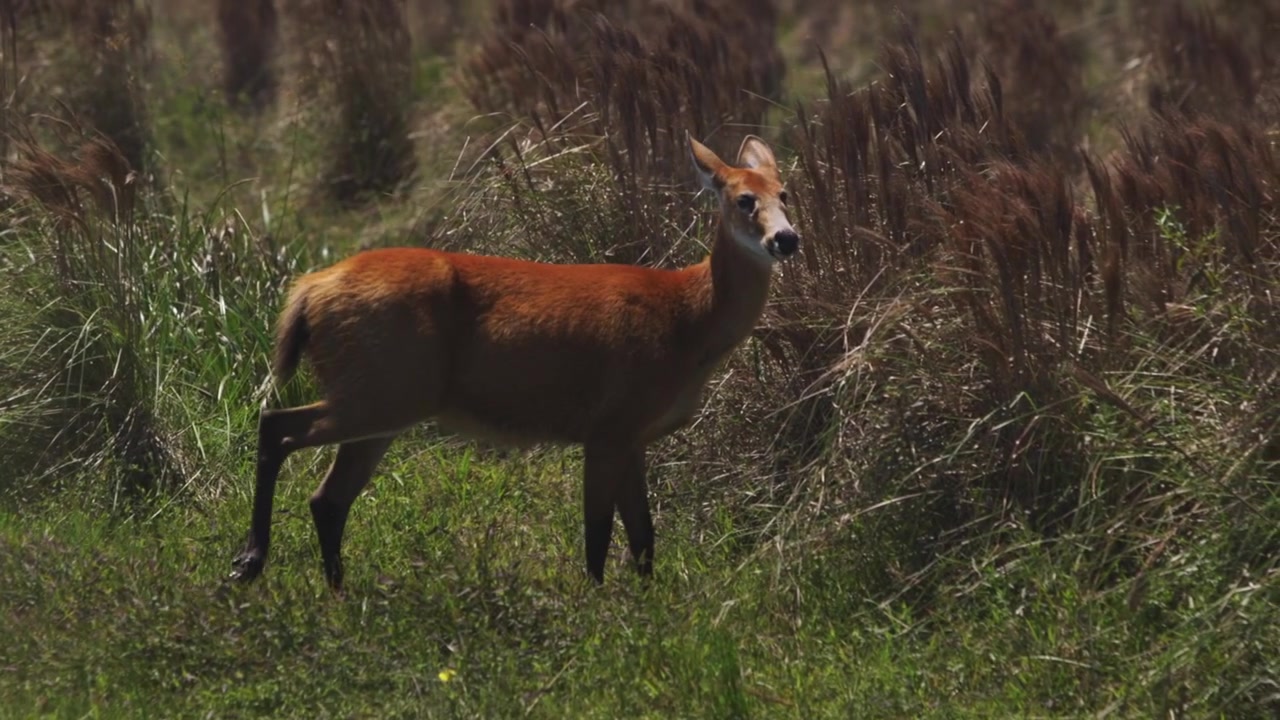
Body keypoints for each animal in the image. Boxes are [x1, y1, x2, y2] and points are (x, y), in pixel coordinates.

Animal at [229, 133, 800, 591]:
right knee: (276, 425)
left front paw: (647, 602)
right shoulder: (609, 424)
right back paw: (251, 561)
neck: (688, 319)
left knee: (326, 496)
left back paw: (336, 588)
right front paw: (597, 605)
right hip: (382, 389)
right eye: (744, 199)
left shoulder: (635, 435)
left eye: (786, 194)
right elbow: (597, 531)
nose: (787, 238)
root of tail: (308, 290)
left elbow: (643, 534)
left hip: (384, 401)